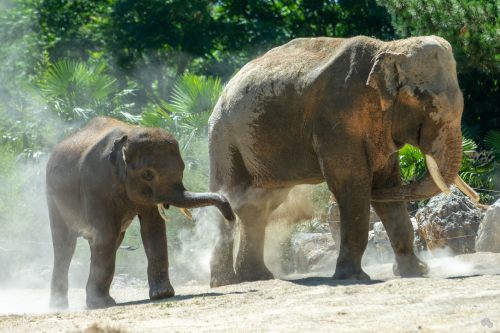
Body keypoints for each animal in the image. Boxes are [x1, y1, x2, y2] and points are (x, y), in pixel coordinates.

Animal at [47, 117, 234, 308]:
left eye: (183, 168)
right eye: (148, 174)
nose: (231, 217)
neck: (128, 136)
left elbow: (153, 230)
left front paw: (162, 294)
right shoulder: (96, 184)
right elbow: (106, 232)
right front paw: (102, 304)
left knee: (108, 241)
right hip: (52, 198)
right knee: (66, 246)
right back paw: (59, 306)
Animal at [208, 35, 480, 286]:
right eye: (431, 105)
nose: (478, 199)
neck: (387, 48)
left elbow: (387, 183)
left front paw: (417, 272)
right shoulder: (335, 116)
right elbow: (351, 184)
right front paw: (354, 277)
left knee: (258, 204)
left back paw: (256, 278)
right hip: (224, 137)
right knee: (228, 198)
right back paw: (226, 282)